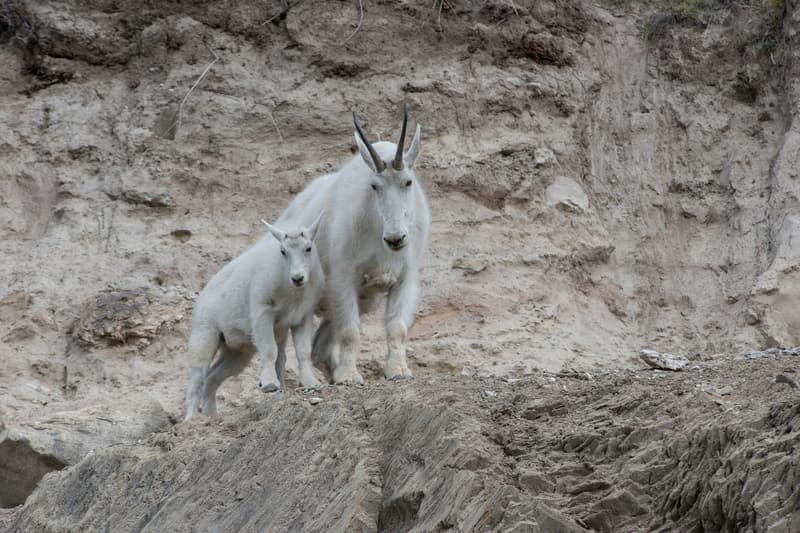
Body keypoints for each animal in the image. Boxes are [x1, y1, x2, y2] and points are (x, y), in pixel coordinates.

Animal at [185, 215, 324, 420]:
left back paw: (212, 416)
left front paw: (311, 382)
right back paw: (192, 418)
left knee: (212, 377)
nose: (298, 278)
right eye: (283, 251)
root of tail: (202, 296)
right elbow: (269, 349)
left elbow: (302, 351)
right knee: (197, 377)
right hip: (205, 333)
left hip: (237, 351)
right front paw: (269, 384)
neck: (292, 291)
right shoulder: (263, 313)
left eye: (308, 248)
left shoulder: (302, 317)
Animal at [277, 104, 430, 384]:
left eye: (408, 181)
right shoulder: (344, 279)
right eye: (374, 186)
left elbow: (397, 328)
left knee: (320, 346)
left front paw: (398, 370)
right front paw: (349, 376)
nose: (395, 238)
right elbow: (350, 331)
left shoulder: (405, 278)